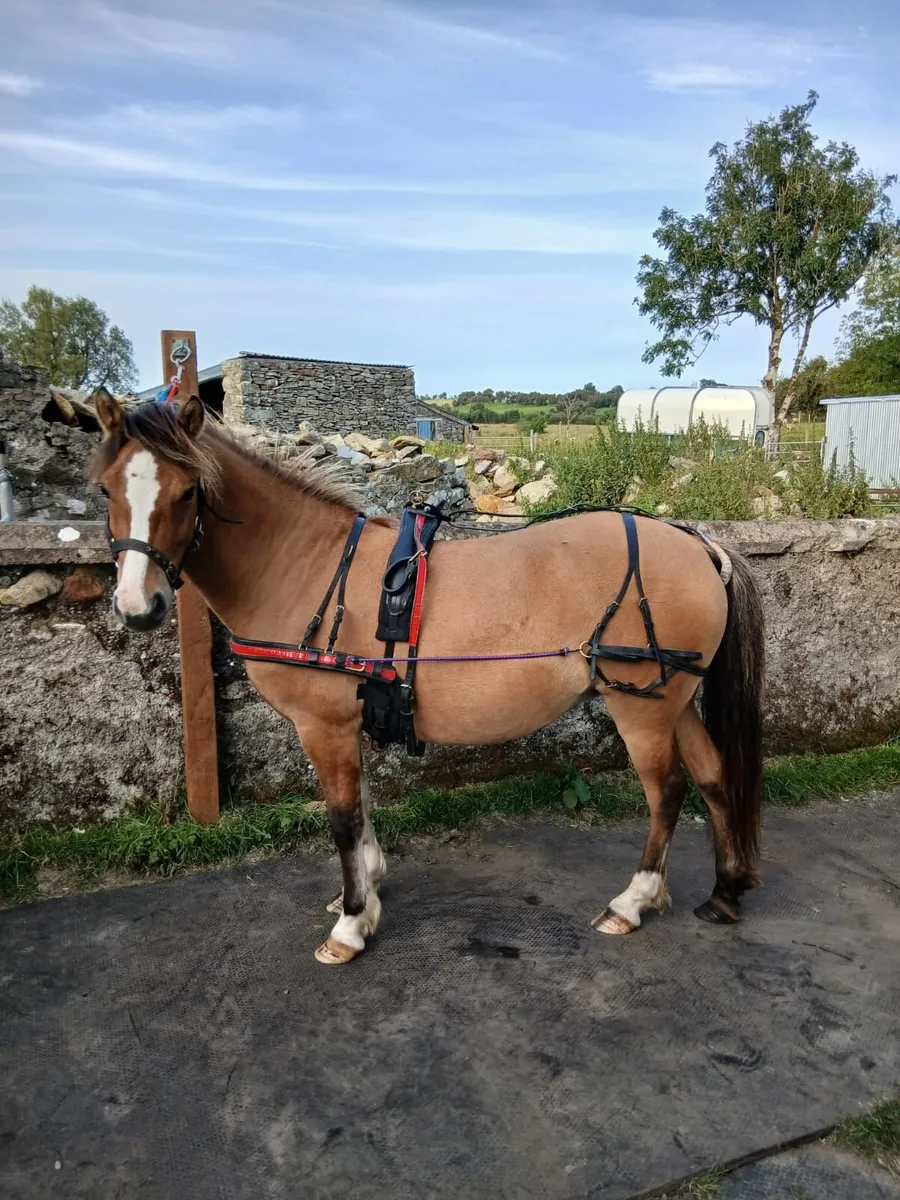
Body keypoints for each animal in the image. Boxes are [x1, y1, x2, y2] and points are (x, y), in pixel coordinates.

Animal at [91, 389, 764, 966]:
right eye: (105, 490)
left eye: (188, 492)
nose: (138, 607)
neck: (308, 565)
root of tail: (697, 542)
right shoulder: (349, 719)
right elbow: (361, 805)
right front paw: (365, 890)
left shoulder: (324, 723)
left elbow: (341, 817)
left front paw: (351, 924)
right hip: (673, 698)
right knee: (712, 775)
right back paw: (725, 890)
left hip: (641, 707)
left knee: (668, 791)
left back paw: (634, 900)